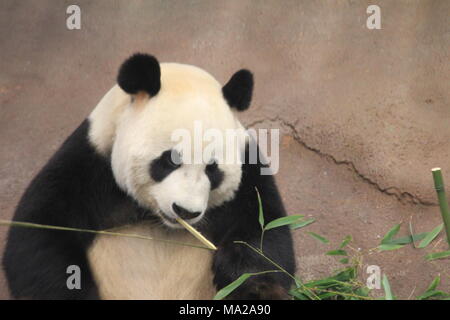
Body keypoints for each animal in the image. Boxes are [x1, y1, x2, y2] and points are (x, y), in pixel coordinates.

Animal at [2, 53, 296, 300]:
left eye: (212, 169)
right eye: (170, 159)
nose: (185, 211)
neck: (159, 221)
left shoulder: (250, 171)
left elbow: (266, 234)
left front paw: (251, 283)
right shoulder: (88, 164)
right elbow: (39, 235)